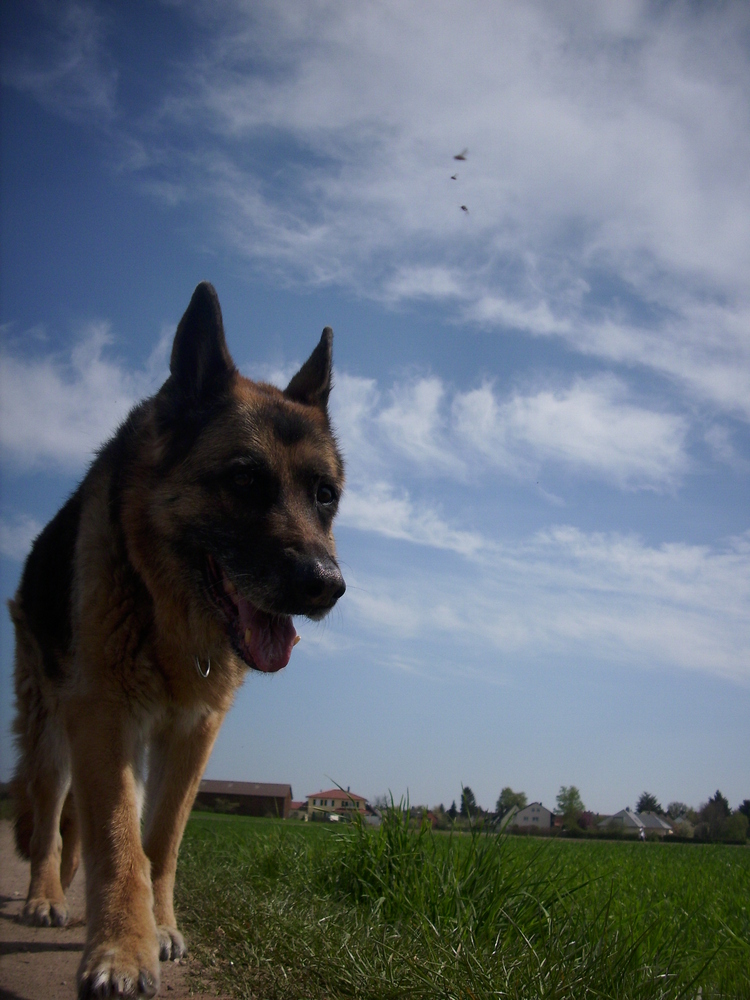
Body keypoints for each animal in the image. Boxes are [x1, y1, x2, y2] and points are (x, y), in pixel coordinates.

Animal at [8, 284, 346, 1000]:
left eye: (325, 495)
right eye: (245, 479)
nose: (327, 586)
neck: (165, 607)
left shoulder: (191, 731)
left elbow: (158, 839)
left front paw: (157, 928)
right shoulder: (102, 715)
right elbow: (117, 838)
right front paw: (120, 949)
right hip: (52, 734)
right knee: (50, 819)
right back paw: (45, 897)